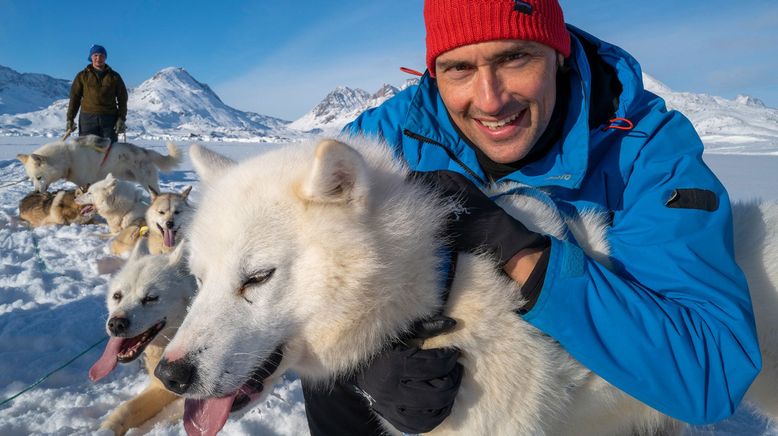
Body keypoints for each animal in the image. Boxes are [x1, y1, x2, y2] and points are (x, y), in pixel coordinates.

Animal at [17, 135, 178, 192]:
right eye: (31, 179)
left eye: (39, 177)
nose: (36, 192)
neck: (68, 158)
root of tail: (145, 151)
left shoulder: (86, 183)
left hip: (147, 182)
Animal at [89, 240, 196, 434]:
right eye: (117, 296)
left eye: (151, 298)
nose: (116, 324)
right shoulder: (160, 385)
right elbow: (126, 408)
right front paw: (107, 429)